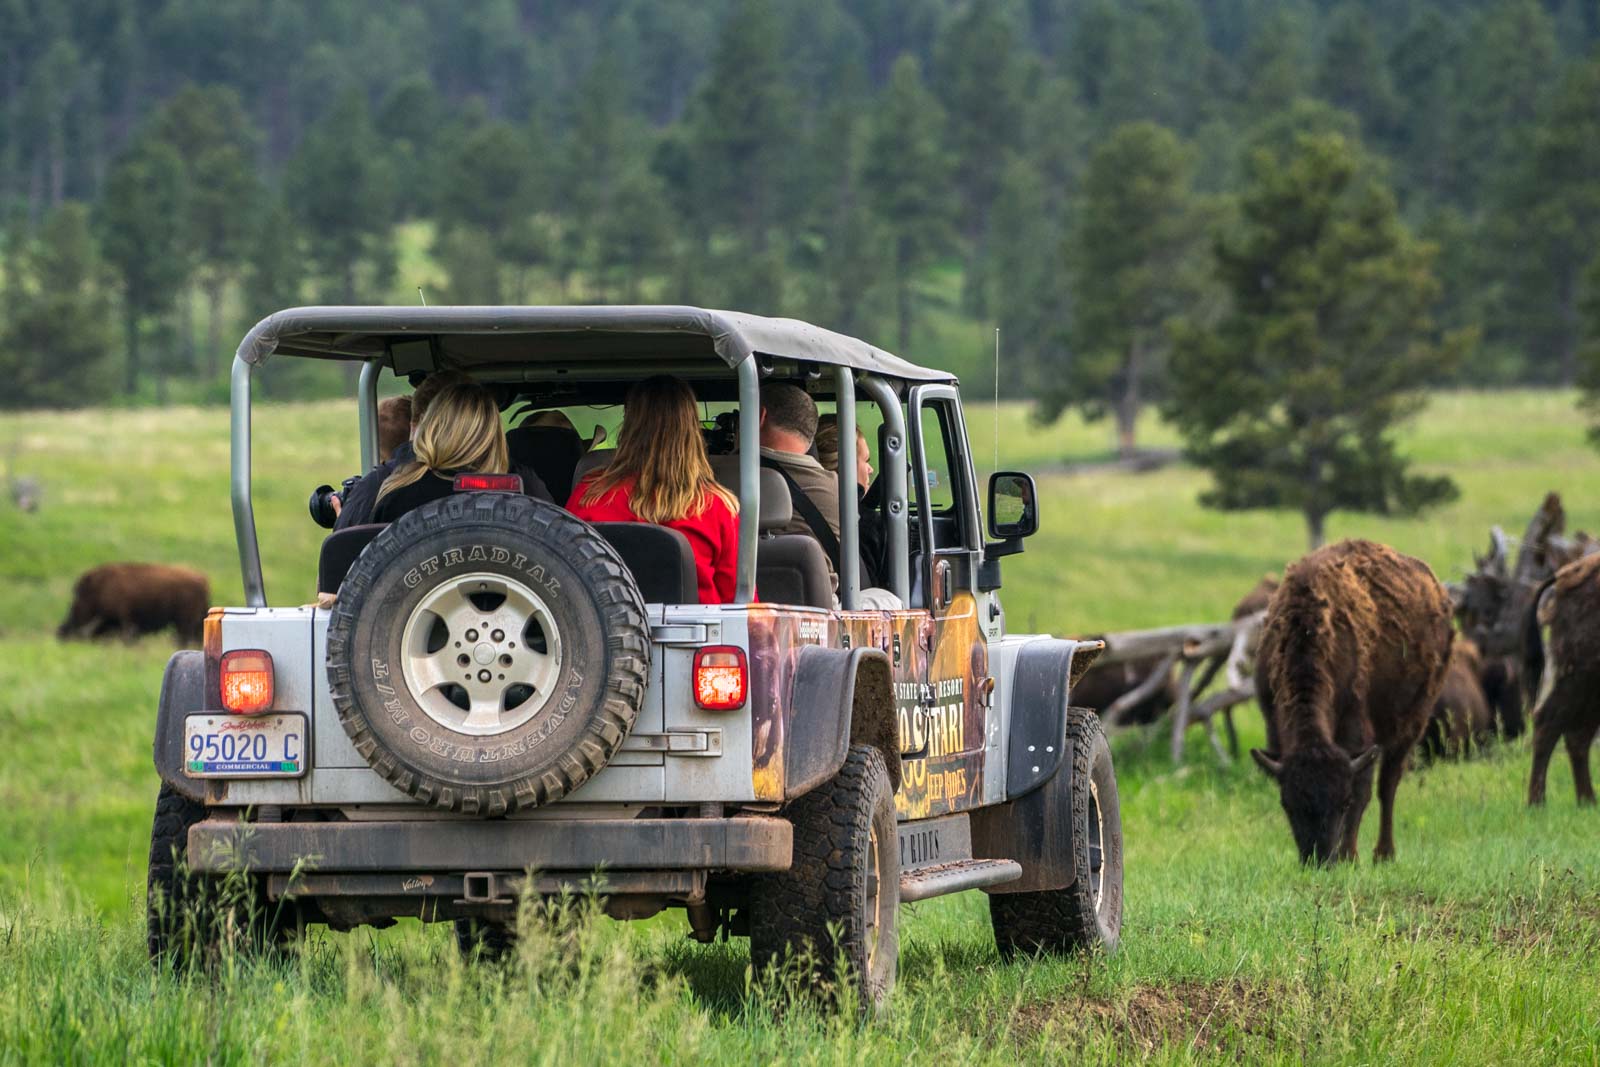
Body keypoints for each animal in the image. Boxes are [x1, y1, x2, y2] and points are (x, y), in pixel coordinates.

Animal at [1254, 543, 1459, 870]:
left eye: (1343, 803)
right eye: (1288, 805)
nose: (1319, 860)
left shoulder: (1358, 731)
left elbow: (1364, 790)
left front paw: (1349, 855)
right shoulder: (1273, 723)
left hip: (1411, 723)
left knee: (1388, 785)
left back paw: (1384, 854)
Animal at [1516, 556, 1593, 806]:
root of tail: (1565, 574)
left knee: (1576, 736)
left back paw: (1588, 801)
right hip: (1581, 678)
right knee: (1548, 724)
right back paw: (1538, 803)